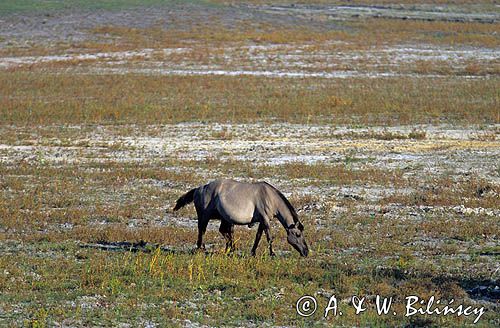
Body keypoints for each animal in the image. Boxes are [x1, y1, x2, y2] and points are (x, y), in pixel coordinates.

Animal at [174, 179, 310, 256]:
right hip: (205, 216)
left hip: (224, 218)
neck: (270, 197)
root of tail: (199, 188)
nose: (306, 252)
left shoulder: (262, 221)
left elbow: (258, 237)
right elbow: (269, 238)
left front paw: (253, 252)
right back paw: (202, 248)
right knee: (202, 230)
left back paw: (231, 249)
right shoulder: (265, 220)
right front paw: (272, 254)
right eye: (298, 234)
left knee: (222, 231)